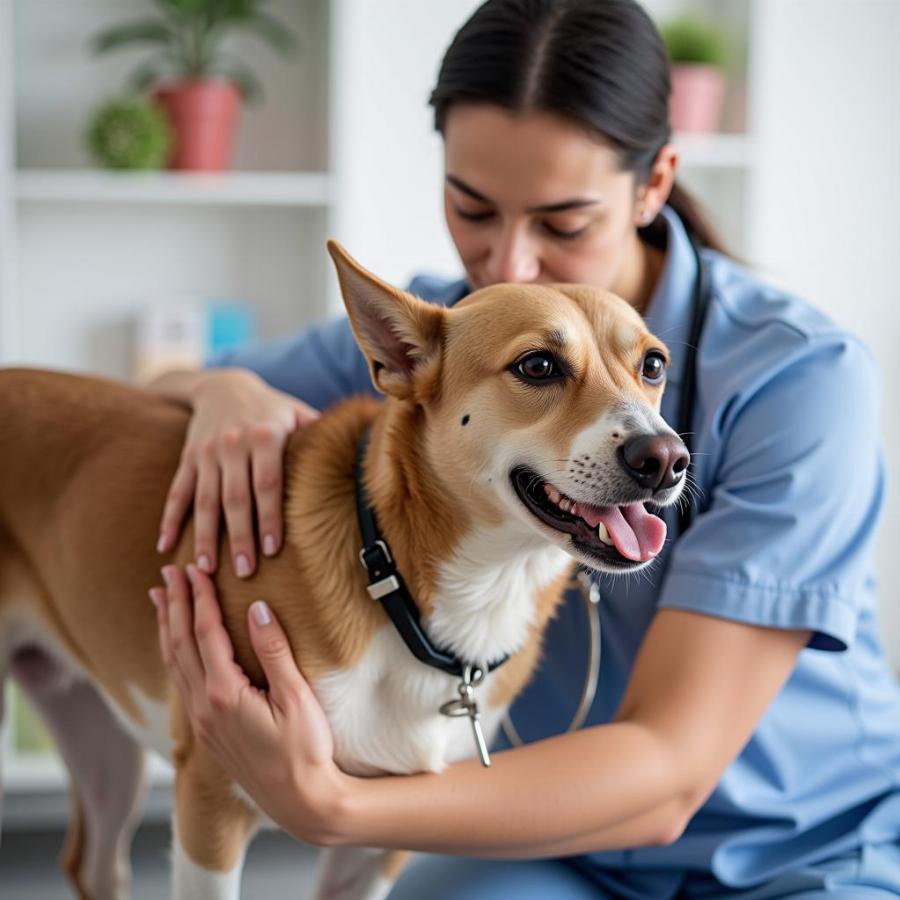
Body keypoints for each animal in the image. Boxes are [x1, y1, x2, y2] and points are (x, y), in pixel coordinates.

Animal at [0, 241, 688, 900]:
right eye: (538, 366)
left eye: (653, 365)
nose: (665, 458)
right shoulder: (210, 803)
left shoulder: (382, 830)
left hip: (102, 742)